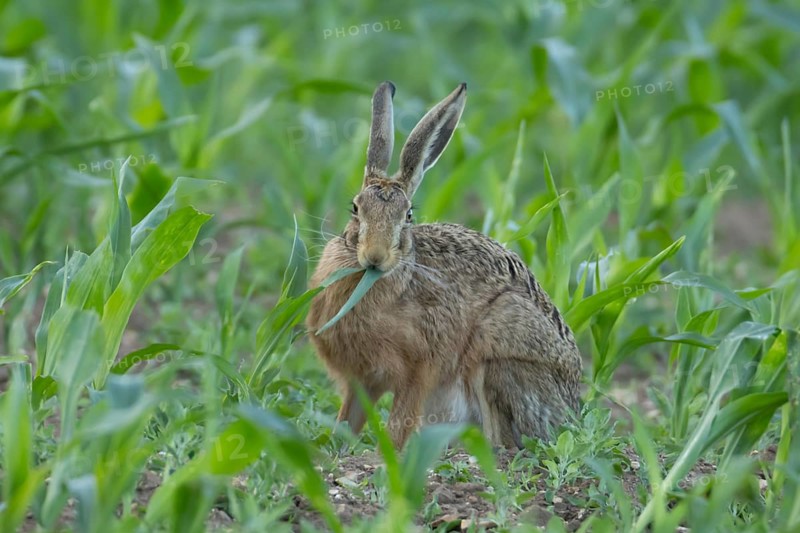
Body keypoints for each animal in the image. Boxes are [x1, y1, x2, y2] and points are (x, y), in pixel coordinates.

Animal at [306, 81, 582, 450]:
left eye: (408, 215)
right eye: (355, 208)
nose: (375, 256)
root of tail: (573, 408)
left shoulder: (419, 370)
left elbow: (399, 423)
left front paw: (389, 455)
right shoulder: (362, 381)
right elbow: (347, 419)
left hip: (498, 351)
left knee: (503, 440)